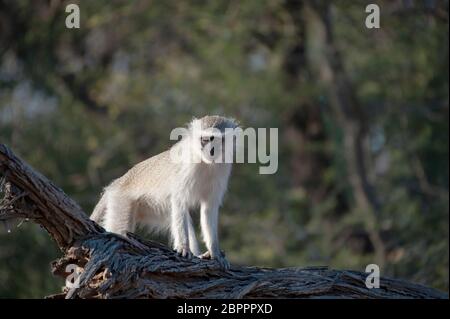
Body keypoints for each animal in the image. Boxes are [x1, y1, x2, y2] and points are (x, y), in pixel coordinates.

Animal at [91, 115, 239, 270]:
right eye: (204, 139)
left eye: (214, 139)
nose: (208, 149)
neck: (206, 164)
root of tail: (117, 183)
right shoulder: (186, 168)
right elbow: (179, 201)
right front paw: (184, 247)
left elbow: (208, 209)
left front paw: (215, 252)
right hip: (122, 202)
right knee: (120, 229)